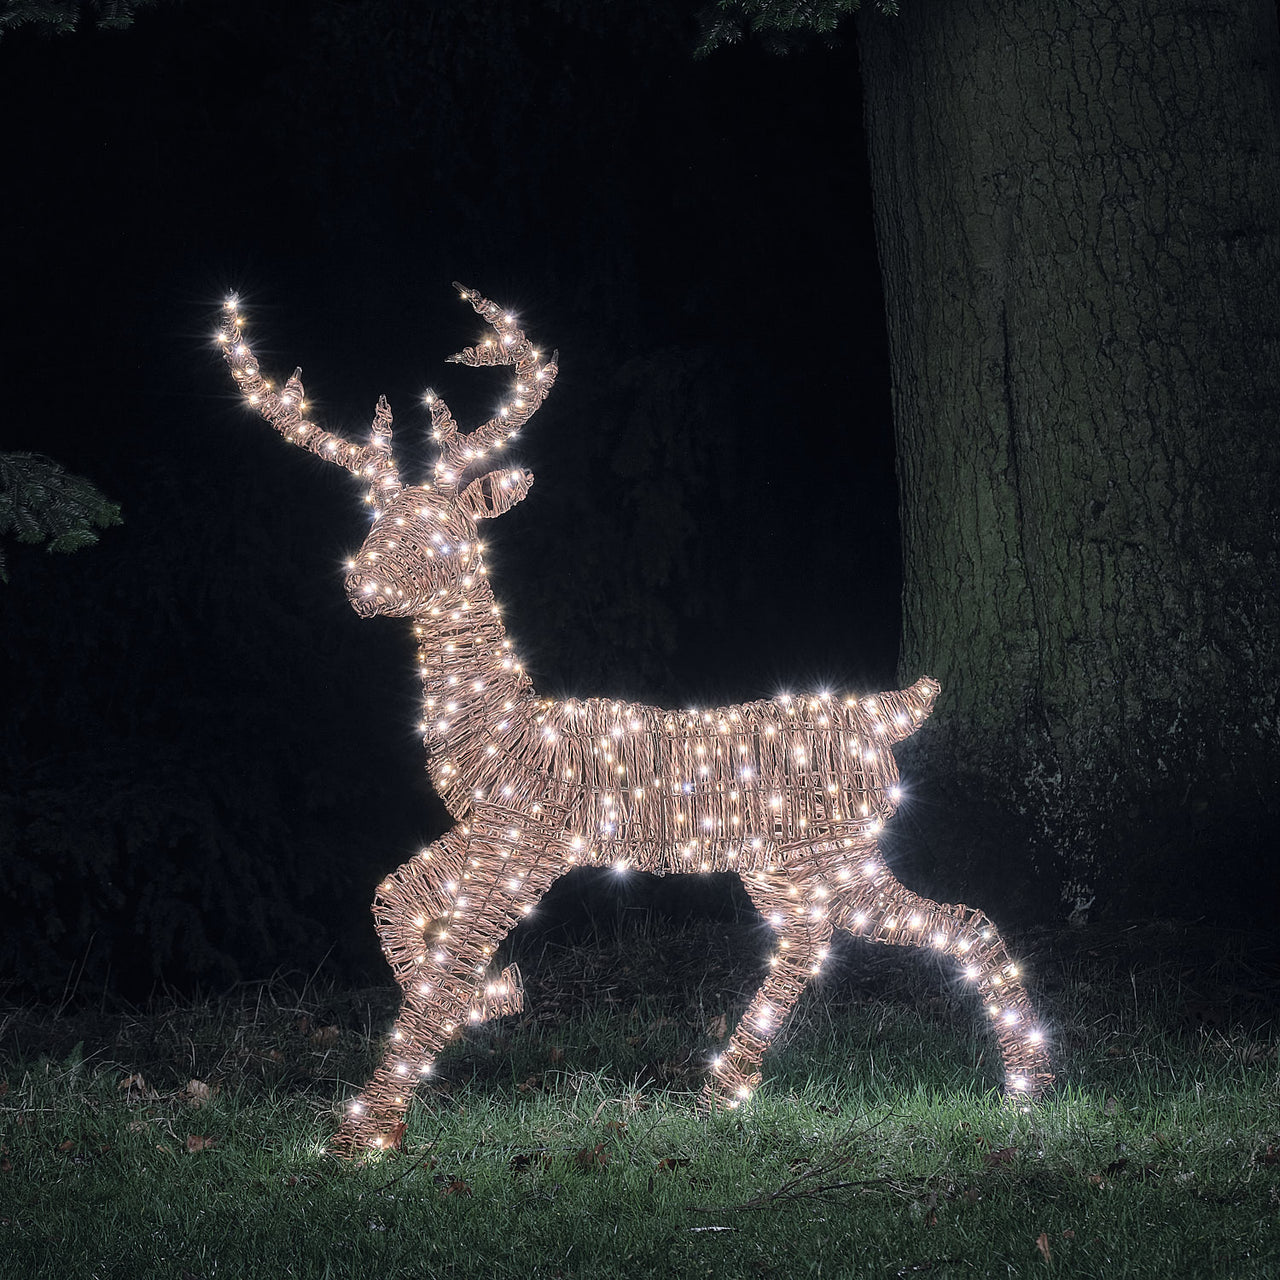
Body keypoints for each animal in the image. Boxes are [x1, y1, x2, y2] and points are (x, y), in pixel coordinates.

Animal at [217, 285, 1053, 1155]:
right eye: (374, 522)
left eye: (444, 533)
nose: (360, 584)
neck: (502, 722)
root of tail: (888, 712)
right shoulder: (484, 830)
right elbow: (391, 897)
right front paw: (495, 998)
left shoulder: (525, 843)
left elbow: (450, 961)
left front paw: (367, 1132)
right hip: (784, 866)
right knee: (814, 940)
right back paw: (721, 1093)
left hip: (840, 854)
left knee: (963, 923)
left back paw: (1027, 1096)